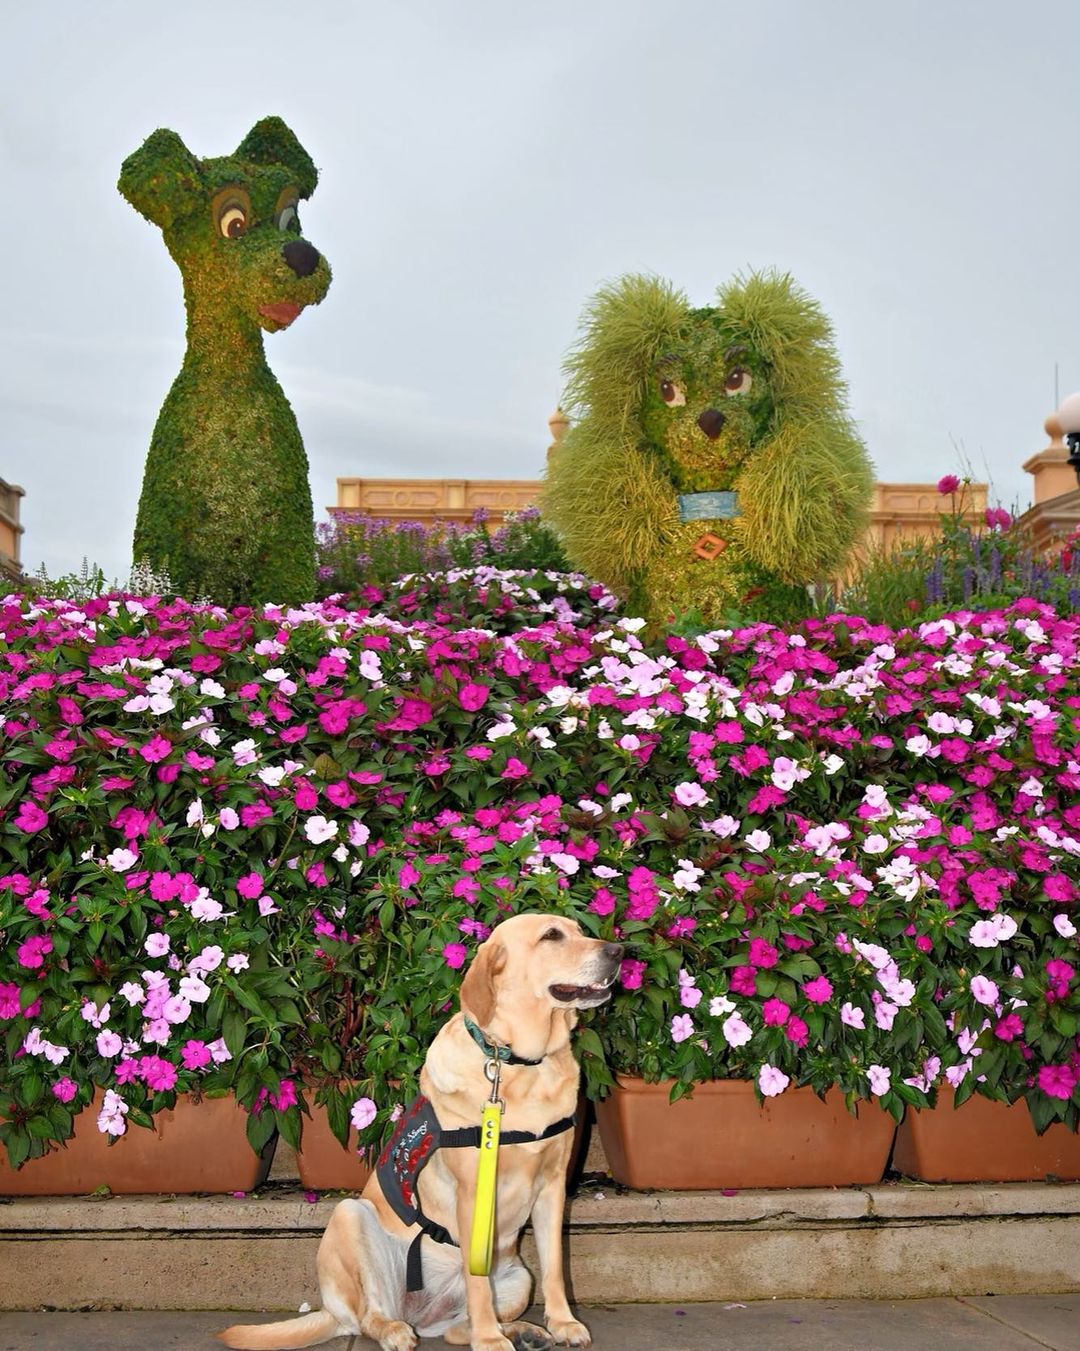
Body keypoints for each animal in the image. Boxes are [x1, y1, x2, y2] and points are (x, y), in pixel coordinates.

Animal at [118, 116, 329, 602]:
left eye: (291, 219)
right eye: (233, 224)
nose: (302, 255)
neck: (228, 383)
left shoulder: (289, 541)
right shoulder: (161, 536)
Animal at [217, 913, 624, 1345]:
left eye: (579, 930)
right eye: (551, 936)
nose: (619, 951)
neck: (519, 1064)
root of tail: (421, 1313)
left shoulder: (552, 1187)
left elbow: (554, 1269)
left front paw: (562, 1323)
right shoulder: (473, 1194)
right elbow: (478, 1282)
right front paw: (489, 1341)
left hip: (516, 1279)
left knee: (456, 1330)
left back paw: (519, 1331)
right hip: (350, 1218)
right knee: (369, 1316)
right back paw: (402, 1331)